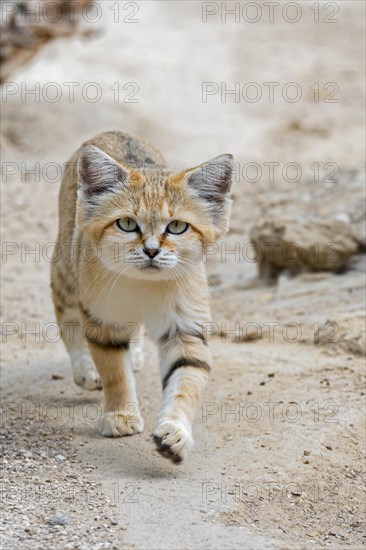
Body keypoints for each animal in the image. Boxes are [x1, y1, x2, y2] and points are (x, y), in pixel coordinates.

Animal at [51, 132, 233, 464]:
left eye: (177, 227)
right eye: (126, 224)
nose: (151, 250)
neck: (145, 285)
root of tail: (112, 132)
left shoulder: (184, 328)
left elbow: (186, 381)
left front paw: (175, 433)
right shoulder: (103, 319)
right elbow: (115, 373)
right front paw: (121, 416)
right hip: (67, 273)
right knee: (66, 318)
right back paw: (84, 368)